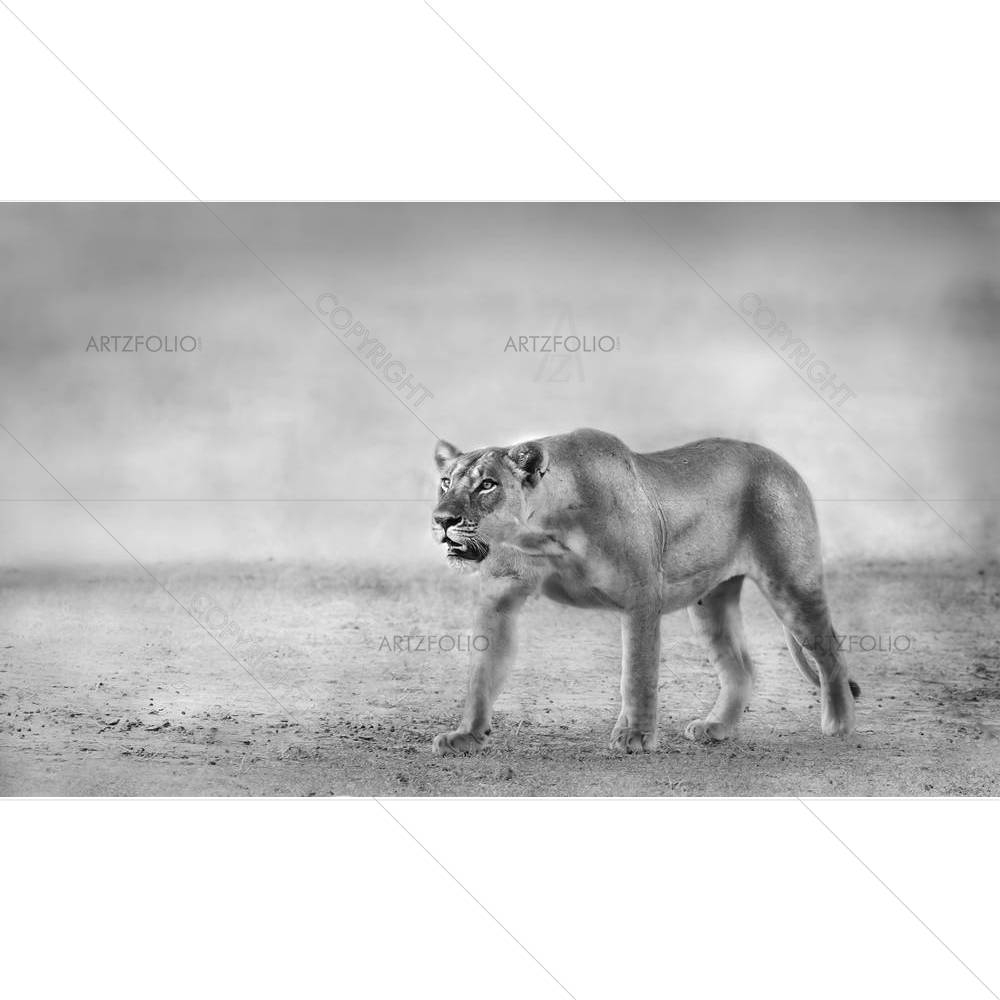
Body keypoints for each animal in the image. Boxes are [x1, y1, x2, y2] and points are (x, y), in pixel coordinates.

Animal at [430, 428, 860, 755]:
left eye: (487, 485)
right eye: (446, 482)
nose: (442, 519)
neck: (543, 534)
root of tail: (779, 460)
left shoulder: (640, 596)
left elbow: (637, 672)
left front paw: (635, 736)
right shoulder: (499, 598)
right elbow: (482, 673)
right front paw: (467, 735)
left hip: (790, 582)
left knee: (830, 653)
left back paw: (839, 724)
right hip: (710, 603)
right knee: (741, 669)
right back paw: (716, 728)